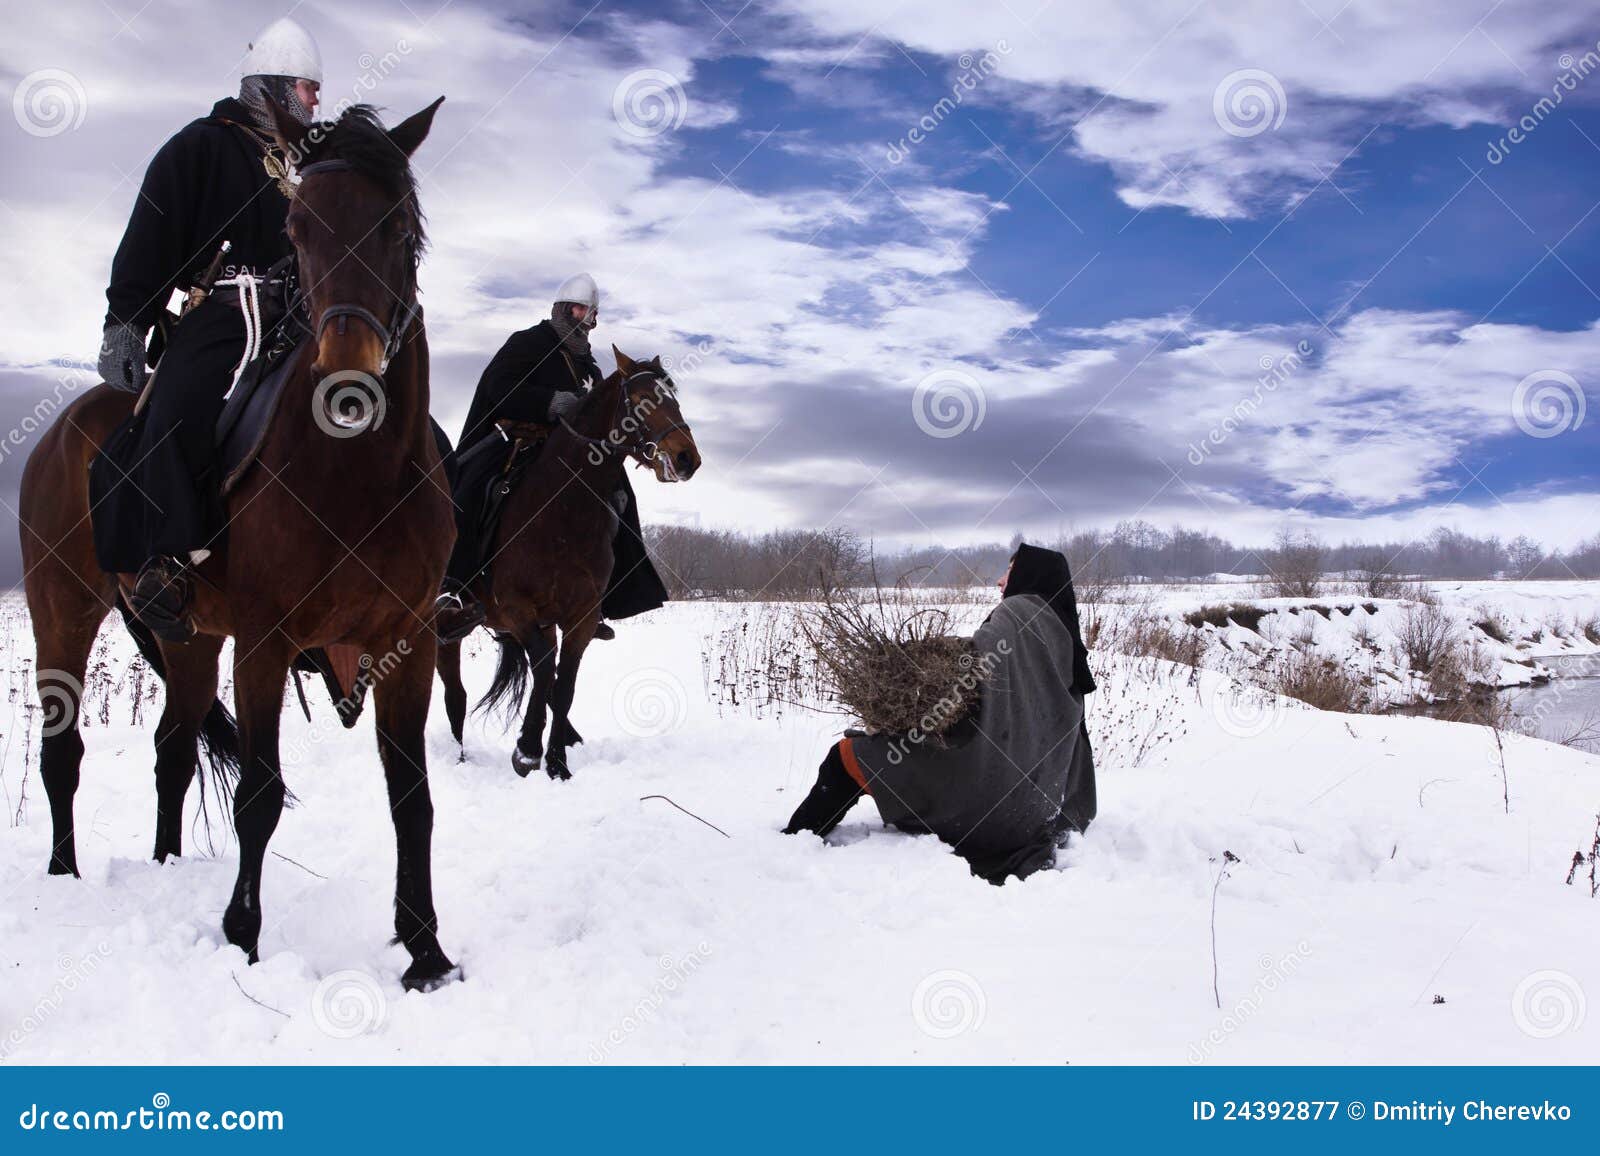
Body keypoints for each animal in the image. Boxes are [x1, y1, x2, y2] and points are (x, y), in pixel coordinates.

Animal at [17, 99, 457, 986]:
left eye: (397, 225)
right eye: (300, 227)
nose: (348, 381)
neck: (357, 472)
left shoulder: (411, 638)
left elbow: (411, 797)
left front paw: (425, 950)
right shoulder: (265, 639)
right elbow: (259, 794)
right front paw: (243, 937)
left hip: (187, 637)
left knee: (172, 749)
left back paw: (163, 866)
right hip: (63, 608)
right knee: (63, 749)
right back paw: (63, 873)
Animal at [444, 353, 707, 774]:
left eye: (674, 398)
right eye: (642, 399)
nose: (686, 458)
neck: (562, 513)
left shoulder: (579, 617)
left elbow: (562, 684)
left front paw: (556, 763)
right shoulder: (517, 610)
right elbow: (544, 671)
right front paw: (527, 751)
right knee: (455, 692)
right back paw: (458, 757)